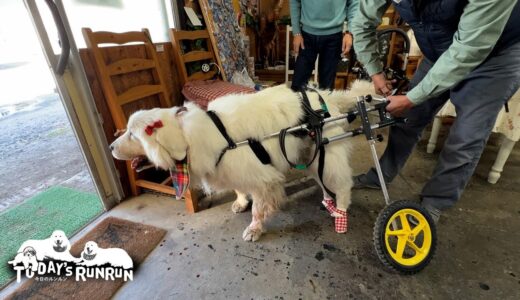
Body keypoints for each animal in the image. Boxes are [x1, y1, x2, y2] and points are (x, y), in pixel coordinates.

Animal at [112, 81, 374, 240]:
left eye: (132, 134)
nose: (111, 147)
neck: (192, 136)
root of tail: (325, 95)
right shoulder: (234, 171)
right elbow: (239, 189)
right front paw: (240, 202)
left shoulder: (263, 180)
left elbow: (258, 210)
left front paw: (254, 229)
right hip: (312, 156)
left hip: (329, 156)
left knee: (343, 185)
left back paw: (340, 212)